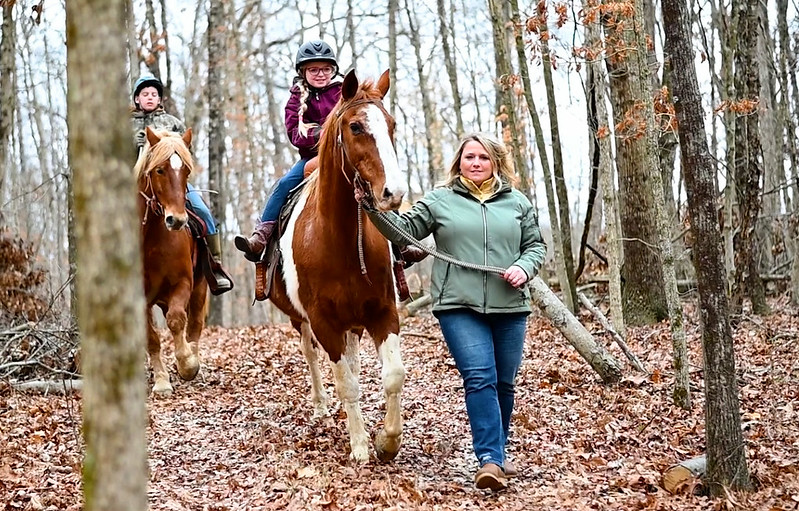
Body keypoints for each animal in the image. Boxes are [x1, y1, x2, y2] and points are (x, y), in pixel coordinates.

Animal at [134, 128, 206, 396]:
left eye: (186, 170)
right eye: (159, 170)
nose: (177, 220)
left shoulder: (183, 282)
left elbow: (177, 320)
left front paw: (187, 364)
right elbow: (151, 337)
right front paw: (162, 381)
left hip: (201, 287)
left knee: (194, 323)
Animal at [268, 69, 406, 464]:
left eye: (391, 125)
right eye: (356, 126)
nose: (393, 193)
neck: (339, 239)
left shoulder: (382, 311)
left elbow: (392, 374)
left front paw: (387, 441)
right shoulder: (323, 322)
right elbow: (346, 383)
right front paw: (359, 446)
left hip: (354, 323)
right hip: (300, 321)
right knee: (312, 357)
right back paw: (321, 406)